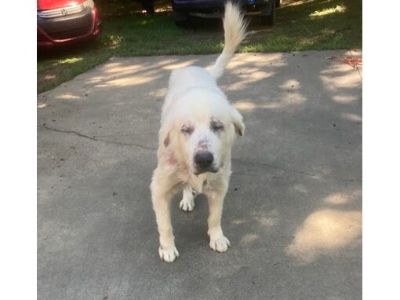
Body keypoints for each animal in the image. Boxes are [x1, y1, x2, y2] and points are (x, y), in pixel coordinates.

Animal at [149, 1, 245, 262]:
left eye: (217, 126)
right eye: (186, 129)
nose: (203, 159)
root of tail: (195, 68)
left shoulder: (220, 185)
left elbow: (215, 217)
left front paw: (216, 237)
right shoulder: (159, 188)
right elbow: (165, 225)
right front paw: (167, 248)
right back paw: (187, 198)